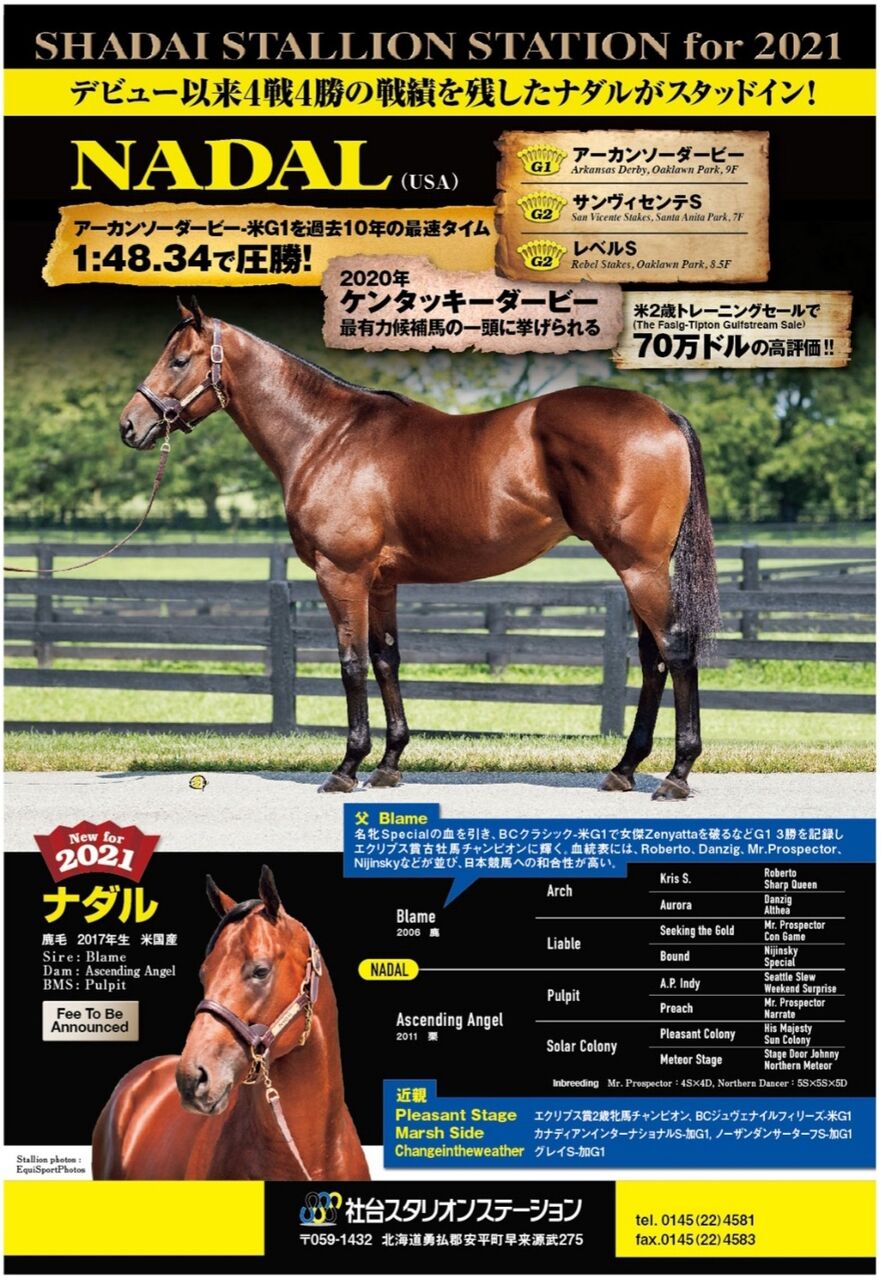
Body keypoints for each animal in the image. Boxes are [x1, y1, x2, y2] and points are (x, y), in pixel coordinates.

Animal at [120, 297, 720, 800]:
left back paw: (676, 774)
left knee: (676, 650)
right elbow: (387, 660)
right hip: (637, 569)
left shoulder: (341, 575)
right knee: (652, 659)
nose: (130, 425)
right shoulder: (382, 582)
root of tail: (664, 414)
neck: (327, 437)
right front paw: (388, 764)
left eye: (179, 360)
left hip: (639, 568)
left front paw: (346, 768)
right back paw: (624, 769)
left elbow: (352, 664)